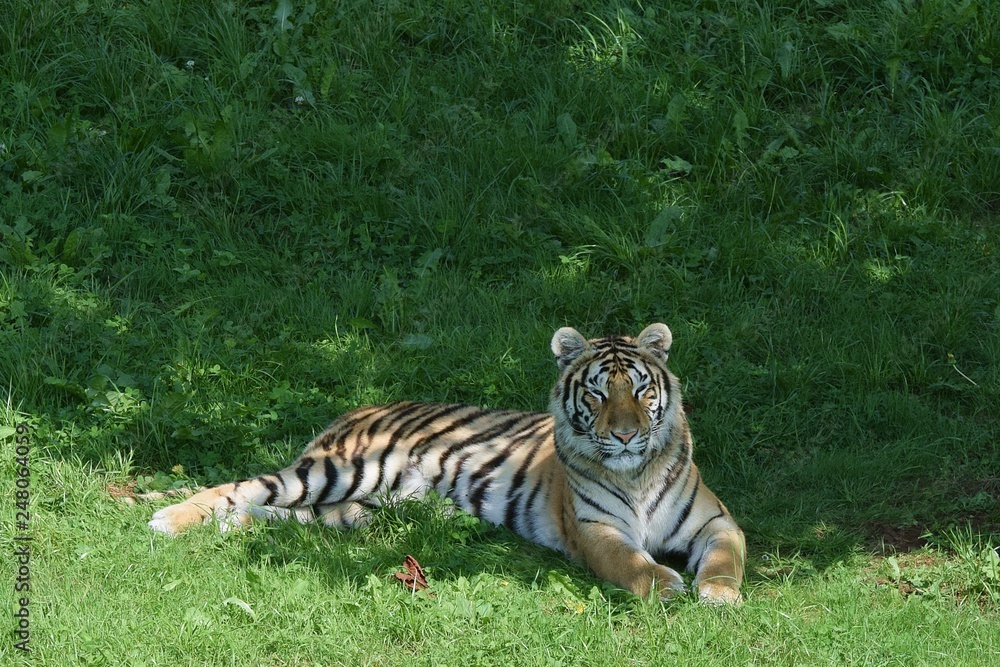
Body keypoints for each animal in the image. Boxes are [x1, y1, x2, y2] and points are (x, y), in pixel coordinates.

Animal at [148, 323, 746, 604]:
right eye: (598, 394)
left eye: (641, 390)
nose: (625, 435)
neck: (636, 473)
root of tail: (359, 408)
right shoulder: (597, 531)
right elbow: (632, 564)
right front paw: (667, 586)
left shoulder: (716, 522)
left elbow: (725, 558)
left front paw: (718, 594)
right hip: (339, 470)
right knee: (243, 484)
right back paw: (170, 520)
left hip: (353, 510)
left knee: (283, 515)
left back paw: (234, 527)